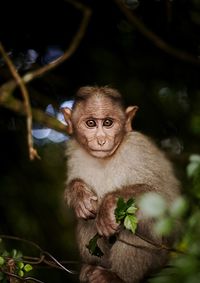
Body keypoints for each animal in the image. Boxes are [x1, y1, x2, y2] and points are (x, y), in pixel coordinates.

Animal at [62, 86, 181, 283]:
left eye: (108, 123)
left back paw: (116, 276)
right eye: (91, 123)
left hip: (159, 257)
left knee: (139, 223)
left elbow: (160, 195)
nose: (101, 140)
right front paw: (78, 193)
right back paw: (93, 268)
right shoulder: (74, 151)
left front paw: (108, 204)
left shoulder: (138, 147)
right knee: (88, 220)